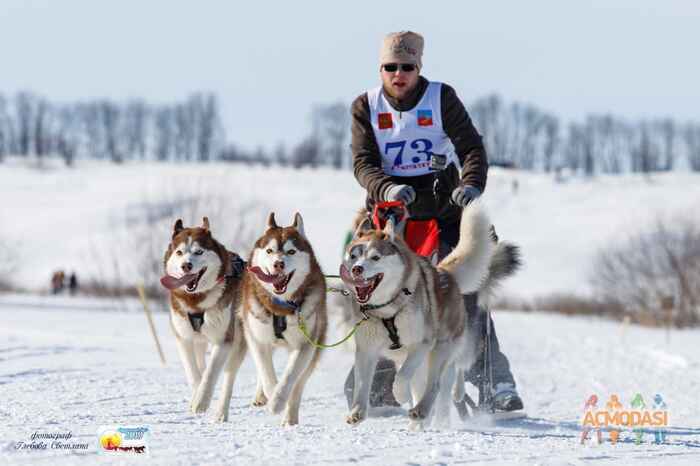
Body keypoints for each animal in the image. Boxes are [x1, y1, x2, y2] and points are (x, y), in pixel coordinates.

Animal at [161, 218, 249, 422]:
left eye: (198, 252)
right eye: (179, 252)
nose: (186, 265)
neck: (196, 301)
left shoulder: (224, 340)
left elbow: (210, 372)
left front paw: (201, 401)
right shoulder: (184, 339)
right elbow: (194, 373)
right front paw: (196, 397)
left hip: (237, 343)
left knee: (228, 378)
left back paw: (221, 412)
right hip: (200, 342)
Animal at [242, 213, 326, 424]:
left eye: (291, 251)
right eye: (269, 250)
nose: (278, 263)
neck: (280, 306)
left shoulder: (305, 345)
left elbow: (290, 376)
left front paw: (278, 401)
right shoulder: (256, 338)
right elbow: (266, 373)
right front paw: (271, 395)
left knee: (298, 385)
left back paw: (290, 419)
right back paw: (261, 396)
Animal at [340, 204, 504, 426]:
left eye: (375, 257)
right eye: (354, 256)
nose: (357, 269)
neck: (388, 309)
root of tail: (446, 274)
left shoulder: (421, 345)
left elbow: (401, 378)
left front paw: (401, 395)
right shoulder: (366, 350)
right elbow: (362, 384)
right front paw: (357, 412)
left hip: (440, 350)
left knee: (437, 383)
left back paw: (423, 410)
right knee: (425, 384)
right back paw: (420, 422)